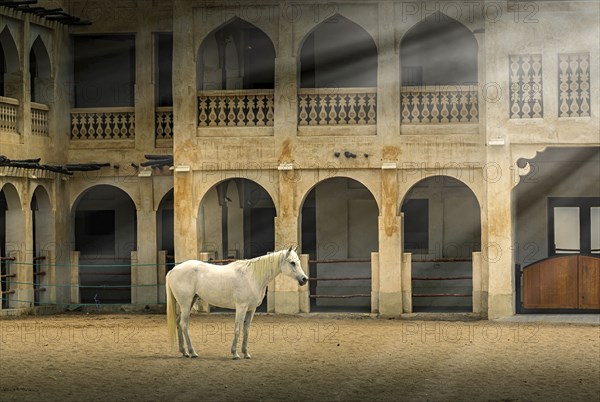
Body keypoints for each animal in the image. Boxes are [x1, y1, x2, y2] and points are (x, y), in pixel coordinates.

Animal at [165, 247, 310, 360]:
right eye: (292, 263)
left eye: (298, 262)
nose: (305, 279)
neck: (252, 276)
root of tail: (173, 270)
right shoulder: (241, 307)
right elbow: (237, 329)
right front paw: (234, 353)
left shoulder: (251, 309)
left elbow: (246, 330)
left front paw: (246, 353)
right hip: (185, 303)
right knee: (184, 325)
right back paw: (192, 352)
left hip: (189, 302)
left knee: (178, 323)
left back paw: (184, 352)